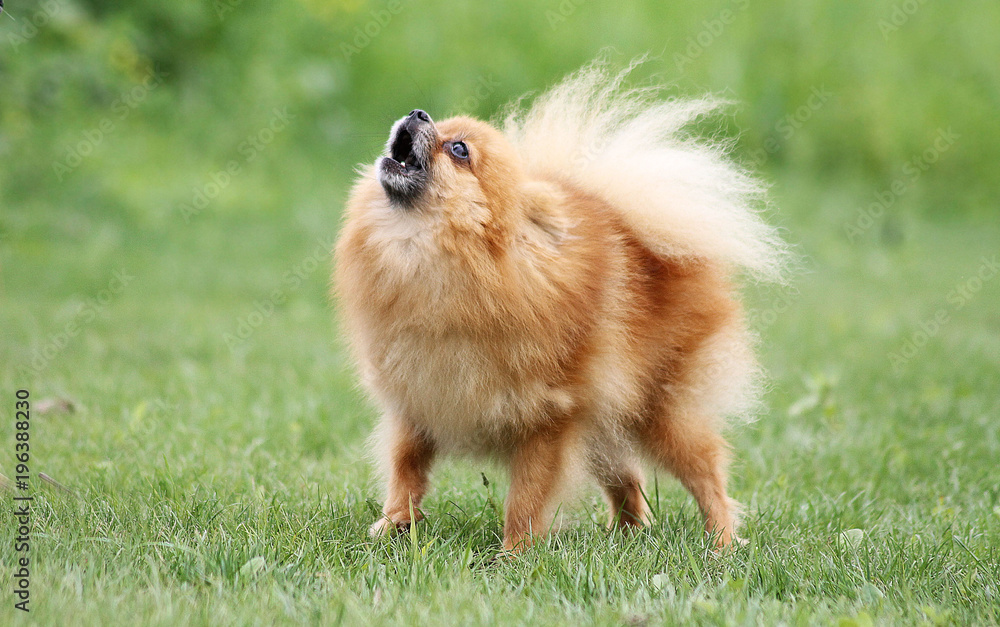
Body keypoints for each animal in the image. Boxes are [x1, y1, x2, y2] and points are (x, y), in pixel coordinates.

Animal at [336, 62, 788, 556]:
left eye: (459, 149)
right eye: (440, 124)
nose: (418, 112)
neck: (432, 260)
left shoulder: (547, 419)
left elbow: (526, 497)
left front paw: (514, 551)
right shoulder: (417, 399)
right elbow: (406, 470)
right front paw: (394, 524)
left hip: (663, 415)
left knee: (707, 472)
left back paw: (722, 541)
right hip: (608, 417)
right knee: (628, 477)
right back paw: (626, 533)